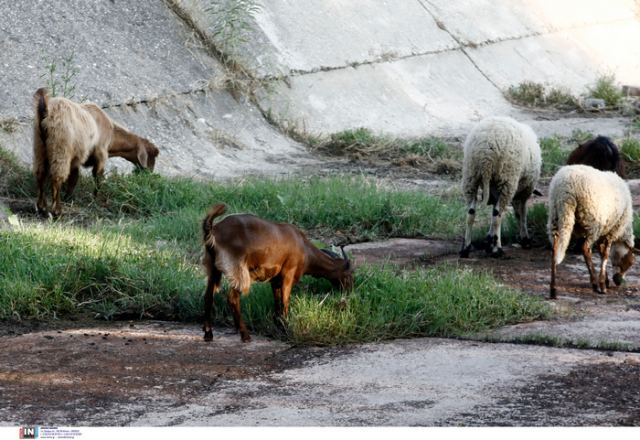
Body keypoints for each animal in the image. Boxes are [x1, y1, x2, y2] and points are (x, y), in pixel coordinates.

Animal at [201, 204, 356, 344]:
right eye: (349, 276)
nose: (349, 293)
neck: (304, 248)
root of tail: (214, 231)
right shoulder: (289, 273)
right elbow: (285, 300)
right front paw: (287, 328)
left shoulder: (275, 279)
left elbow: (277, 301)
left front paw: (279, 325)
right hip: (239, 271)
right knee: (232, 298)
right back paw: (245, 335)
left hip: (212, 268)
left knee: (208, 296)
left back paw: (208, 334)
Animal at [458, 117, 544, 258]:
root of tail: (486, 152)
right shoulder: (524, 192)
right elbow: (522, 214)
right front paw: (525, 239)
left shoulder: (495, 191)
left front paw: (489, 240)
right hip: (507, 179)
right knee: (497, 216)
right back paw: (497, 249)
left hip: (471, 176)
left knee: (471, 213)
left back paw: (466, 248)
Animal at [544, 165, 636, 300]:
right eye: (630, 262)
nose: (618, 282)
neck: (624, 230)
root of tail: (564, 188)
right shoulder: (611, 231)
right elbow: (605, 255)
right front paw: (603, 284)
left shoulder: (604, 231)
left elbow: (601, 252)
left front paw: (606, 281)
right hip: (591, 222)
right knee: (585, 249)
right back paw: (594, 284)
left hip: (555, 217)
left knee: (555, 250)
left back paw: (553, 289)